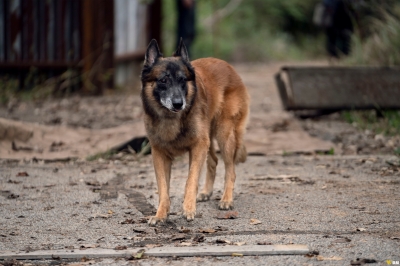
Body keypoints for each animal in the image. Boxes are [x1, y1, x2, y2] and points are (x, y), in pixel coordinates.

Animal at [139, 39, 248, 227]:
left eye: (183, 80)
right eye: (163, 80)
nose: (178, 104)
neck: (170, 118)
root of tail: (228, 66)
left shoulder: (198, 147)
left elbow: (191, 180)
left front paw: (188, 209)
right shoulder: (159, 154)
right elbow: (163, 188)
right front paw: (161, 214)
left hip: (224, 135)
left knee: (231, 170)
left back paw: (226, 199)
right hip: (210, 139)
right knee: (213, 161)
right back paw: (206, 192)